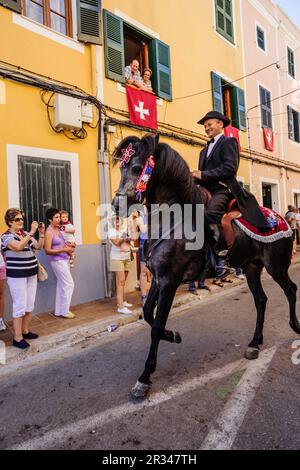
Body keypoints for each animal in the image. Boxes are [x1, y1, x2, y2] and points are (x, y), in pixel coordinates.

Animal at [112, 134, 300, 398]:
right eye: (121, 167)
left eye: (138, 168)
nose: (116, 205)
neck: (172, 221)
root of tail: (282, 219)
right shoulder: (158, 278)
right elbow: (148, 313)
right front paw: (174, 336)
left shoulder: (169, 281)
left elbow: (156, 325)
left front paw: (145, 378)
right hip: (251, 267)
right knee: (261, 300)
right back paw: (254, 344)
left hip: (276, 266)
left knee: (291, 290)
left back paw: (295, 327)